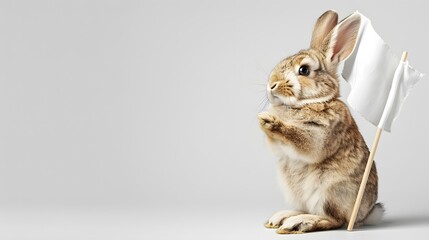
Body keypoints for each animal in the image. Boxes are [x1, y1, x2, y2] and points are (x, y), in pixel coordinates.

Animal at [256, 10, 382, 233]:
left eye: (304, 70)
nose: (272, 84)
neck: (309, 102)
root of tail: (364, 215)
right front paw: (264, 119)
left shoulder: (321, 134)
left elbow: (303, 140)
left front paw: (271, 121)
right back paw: (282, 217)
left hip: (329, 191)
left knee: (335, 220)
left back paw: (299, 223)